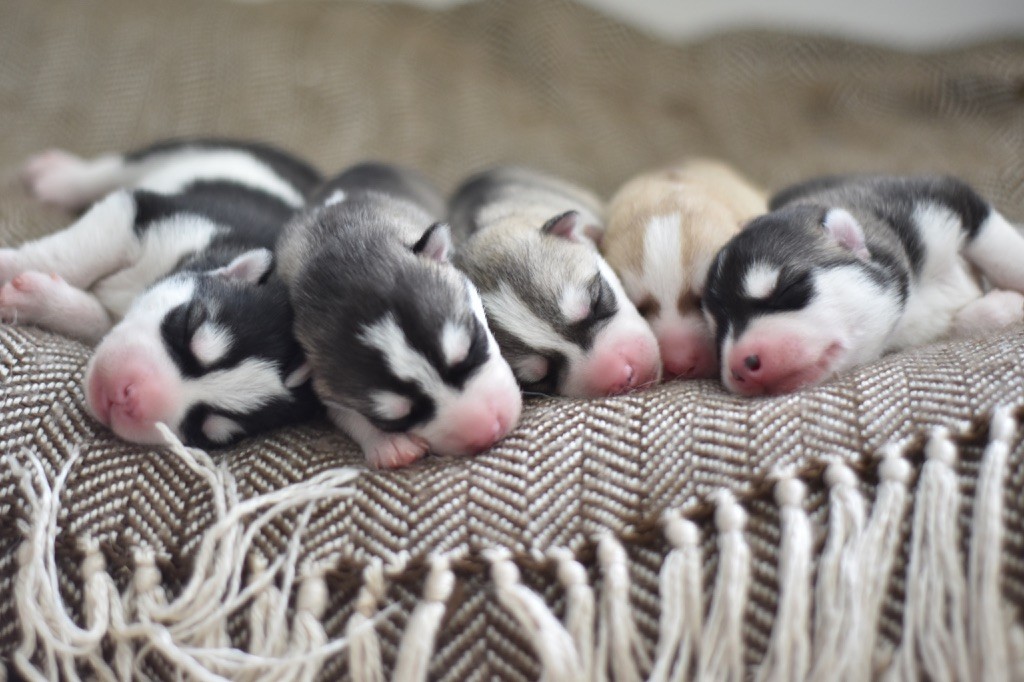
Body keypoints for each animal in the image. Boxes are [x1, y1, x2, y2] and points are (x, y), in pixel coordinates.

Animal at [2, 138, 321, 446]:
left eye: (203, 429)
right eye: (187, 325)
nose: (127, 398)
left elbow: (96, 319)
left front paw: (37, 298)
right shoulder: (145, 218)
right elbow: (73, 258)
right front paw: (8, 267)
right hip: (191, 151)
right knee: (111, 170)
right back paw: (56, 177)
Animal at [278, 161, 524, 466]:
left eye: (472, 347)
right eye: (397, 418)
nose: (491, 430)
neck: (339, 239)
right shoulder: (325, 386)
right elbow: (344, 412)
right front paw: (388, 444)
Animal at [704, 173, 1024, 395]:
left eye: (789, 288)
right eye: (717, 330)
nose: (739, 366)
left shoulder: (943, 200)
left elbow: (1004, 253)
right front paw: (1004, 307)